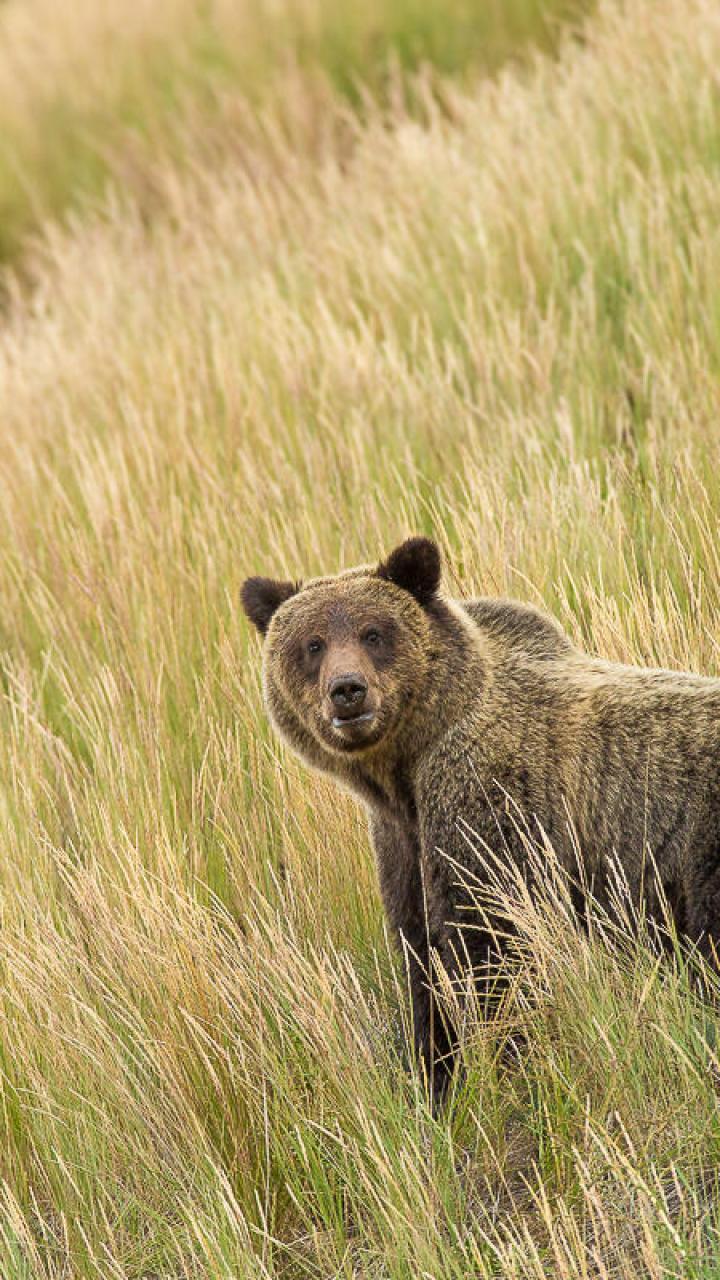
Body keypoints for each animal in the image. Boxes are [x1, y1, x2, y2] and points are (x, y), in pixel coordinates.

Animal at [241, 536, 720, 1103]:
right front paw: (433, 1080)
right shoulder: (404, 842)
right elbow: (422, 960)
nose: (348, 690)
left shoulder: (485, 807)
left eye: (374, 633)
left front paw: (509, 1075)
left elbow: (491, 950)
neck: (406, 769)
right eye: (312, 644)